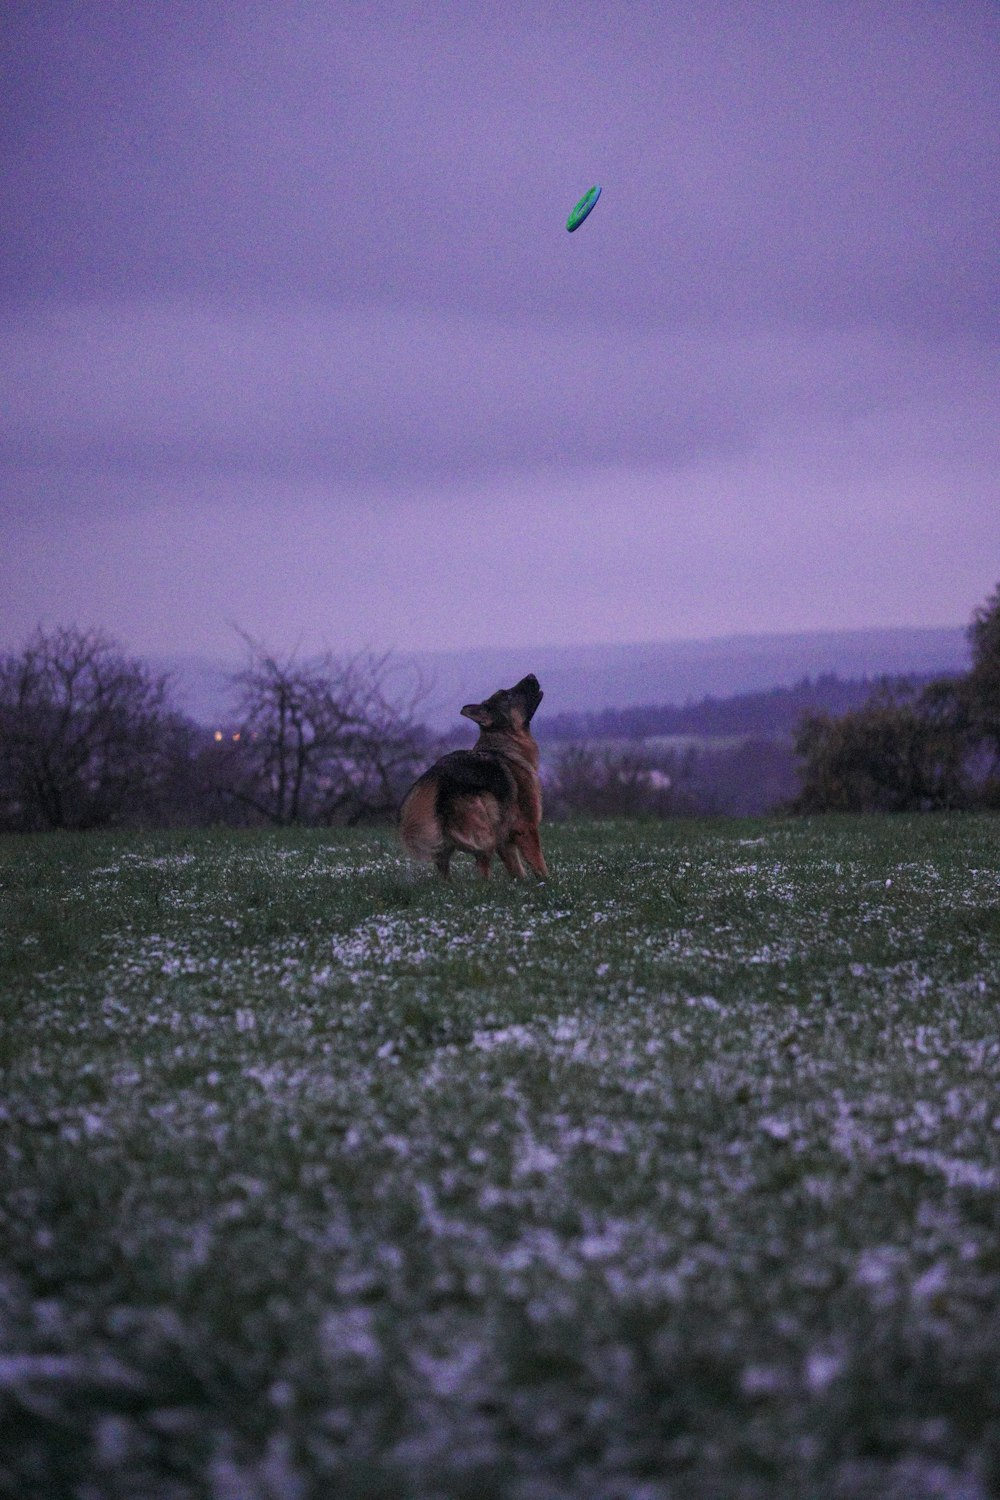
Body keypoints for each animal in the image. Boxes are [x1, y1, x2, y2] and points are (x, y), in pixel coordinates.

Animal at [401, 672, 551, 876]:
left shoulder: (506, 840)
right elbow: (540, 866)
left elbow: (517, 871)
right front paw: (547, 882)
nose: (531, 675)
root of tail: (436, 774)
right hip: (486, 830)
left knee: (443, 866)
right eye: (507, 696)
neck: (505, 743)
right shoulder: (526, 828)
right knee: (481, 868)